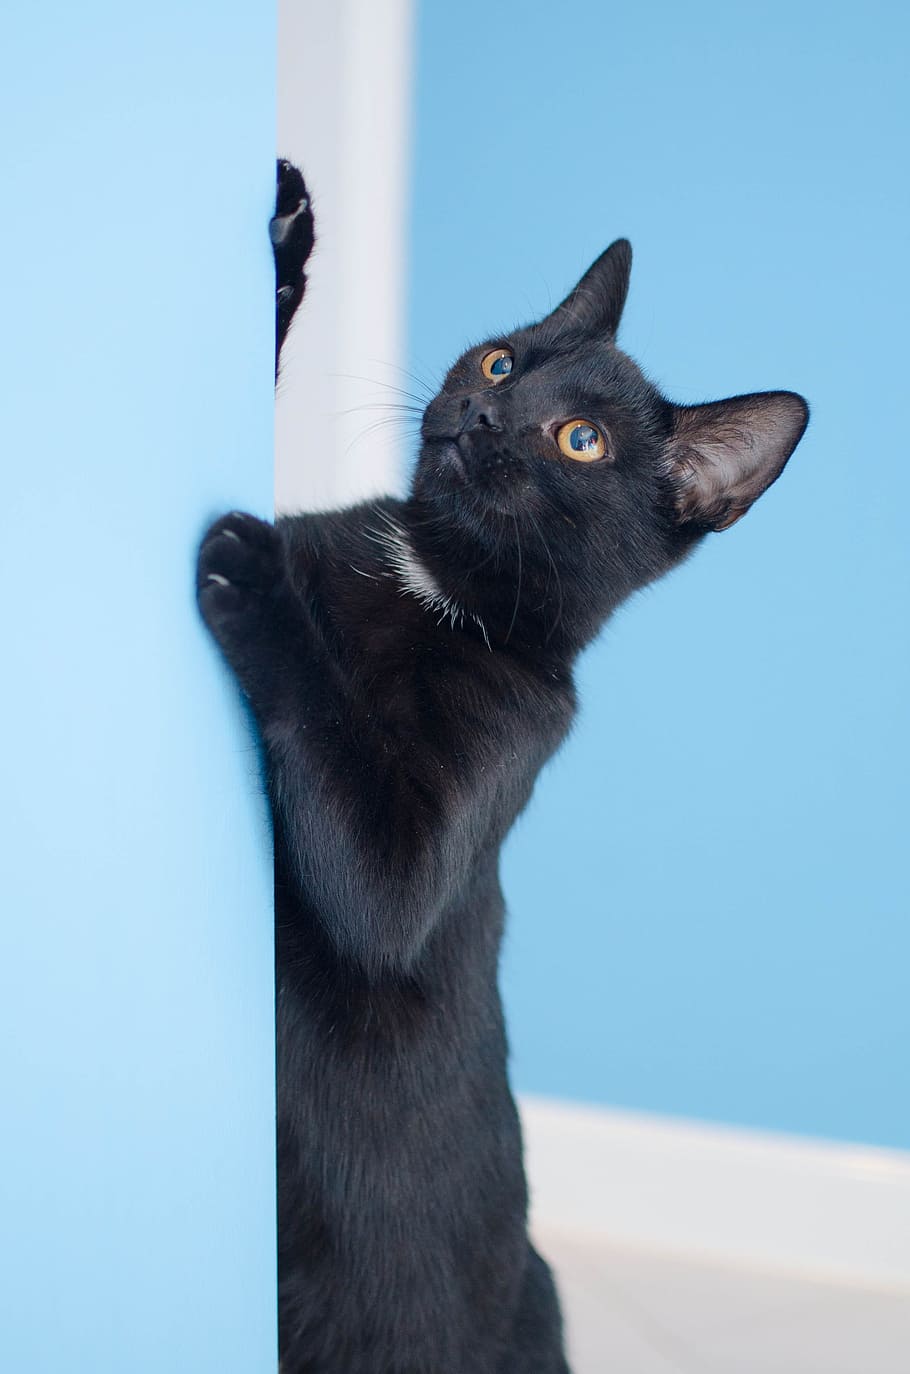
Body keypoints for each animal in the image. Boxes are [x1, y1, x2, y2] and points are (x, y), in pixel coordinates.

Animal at [197, 155, 808, 1368]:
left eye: (578, 441)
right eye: (500, 360)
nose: (482, 409)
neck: (429, 579)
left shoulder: (426, 843)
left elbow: (344, 778)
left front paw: (257, 581)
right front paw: (287, 233)